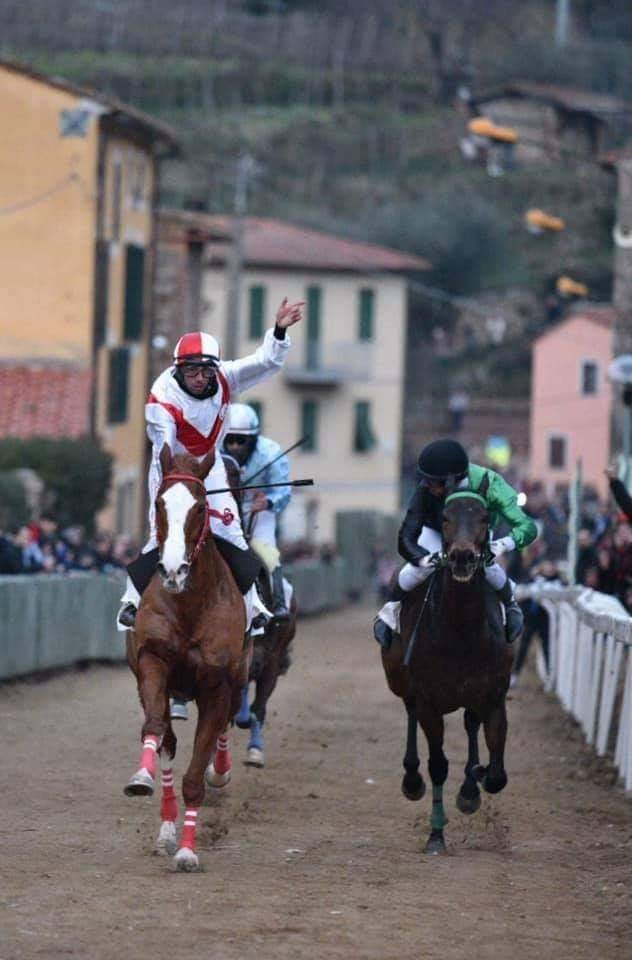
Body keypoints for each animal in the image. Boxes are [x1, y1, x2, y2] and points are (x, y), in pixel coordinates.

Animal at [123, 446, 249, 872]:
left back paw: (220, 772)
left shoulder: (217, 684)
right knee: (167, 738)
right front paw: (142, 779)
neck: (190, 604)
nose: (173, 570)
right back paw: (164, 829)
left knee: (226, 725)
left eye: (199, 507)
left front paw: (188, 851)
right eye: (159, 503)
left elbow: (196, 773)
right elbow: (157, 728)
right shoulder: (153, 661)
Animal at [380, 480, 512, 856]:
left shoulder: (493, 696)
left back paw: (470, 783)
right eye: (445, 518)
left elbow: (497, 776)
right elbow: (438, 764)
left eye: (484, 517)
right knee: (410, 713)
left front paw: (474, 782)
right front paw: (436, 834)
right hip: (400, 680)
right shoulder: (428, 700)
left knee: (469, 724)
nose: (463, 557)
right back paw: (412, 779)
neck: (460, 631)